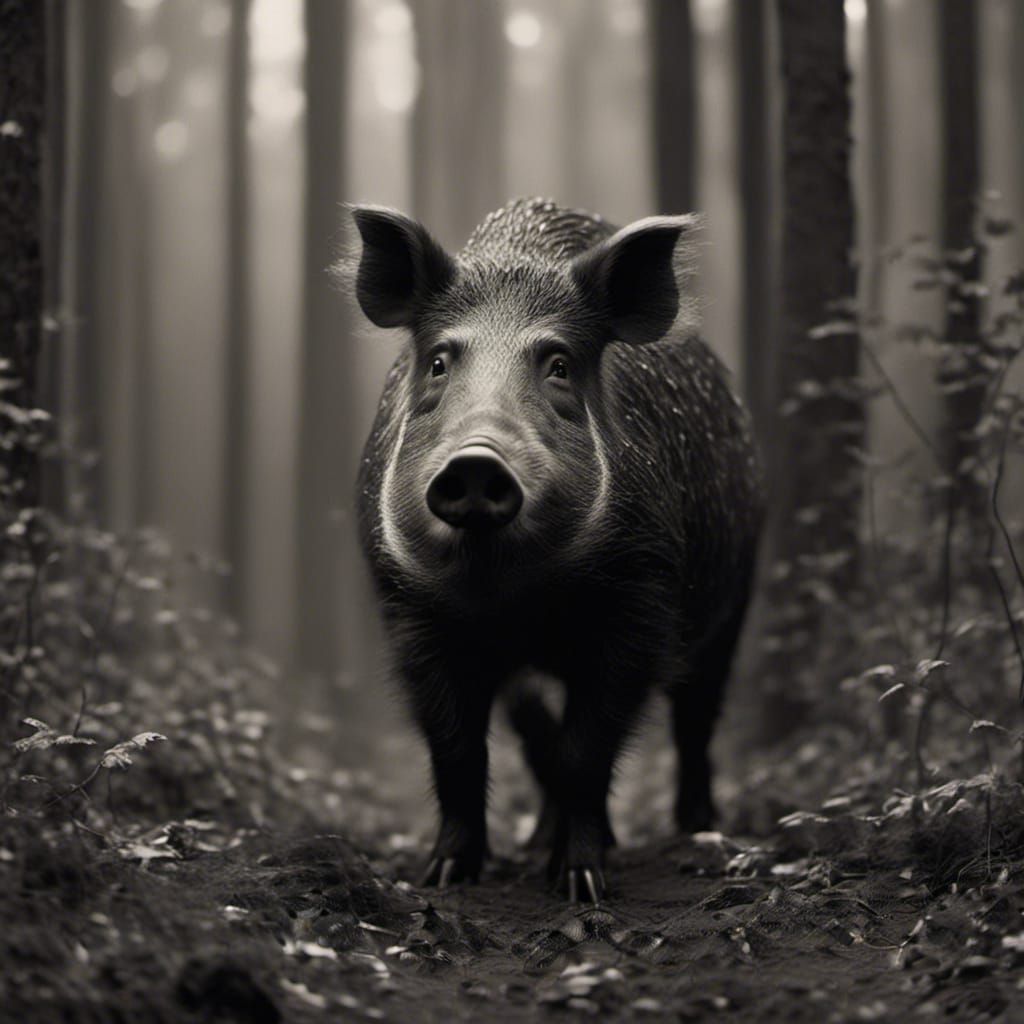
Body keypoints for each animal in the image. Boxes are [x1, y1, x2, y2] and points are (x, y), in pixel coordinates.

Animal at [346, 198, 763, 902]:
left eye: (560, 364)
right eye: (439, 362)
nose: (478, 460)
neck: (515, 594)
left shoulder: (641, 598)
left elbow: (586, 749)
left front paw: (582, 883)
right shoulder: (406, 608)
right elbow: (458, 748)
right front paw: (443, 877)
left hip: (734, 600)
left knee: (696, 718)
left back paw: (699, 829)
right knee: (538, 726)